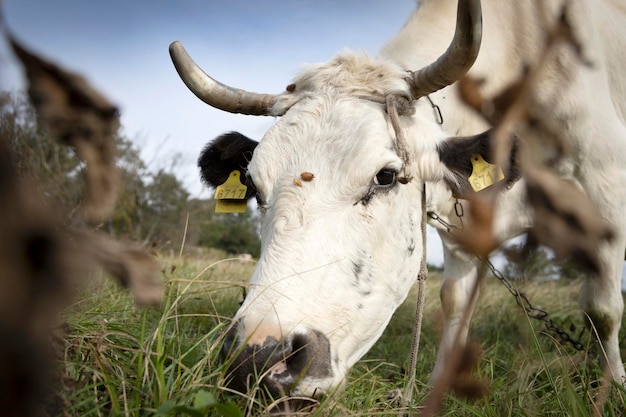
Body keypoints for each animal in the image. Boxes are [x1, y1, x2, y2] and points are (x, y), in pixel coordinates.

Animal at [168, 0, 620, 400]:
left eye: (385, 176)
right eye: (254, 184)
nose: (258, 359)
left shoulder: (607, 186)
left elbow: (603, 310)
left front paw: (612, 388)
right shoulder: (463, 234)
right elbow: (455, 305)